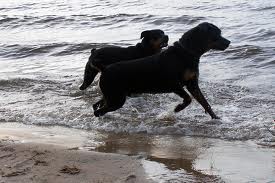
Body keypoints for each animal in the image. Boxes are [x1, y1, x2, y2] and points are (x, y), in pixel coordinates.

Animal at [94, 22, 232, 118]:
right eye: (216, 34)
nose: (229, 42)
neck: (186, 53)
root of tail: (104, 69)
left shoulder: (192, 84)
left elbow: (205, 102)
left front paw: (216, 118)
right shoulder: (174, 84)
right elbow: (188, 98)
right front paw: (178, 108)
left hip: (112, 95)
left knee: (97, 105)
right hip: (116, 98)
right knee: (99, 111)